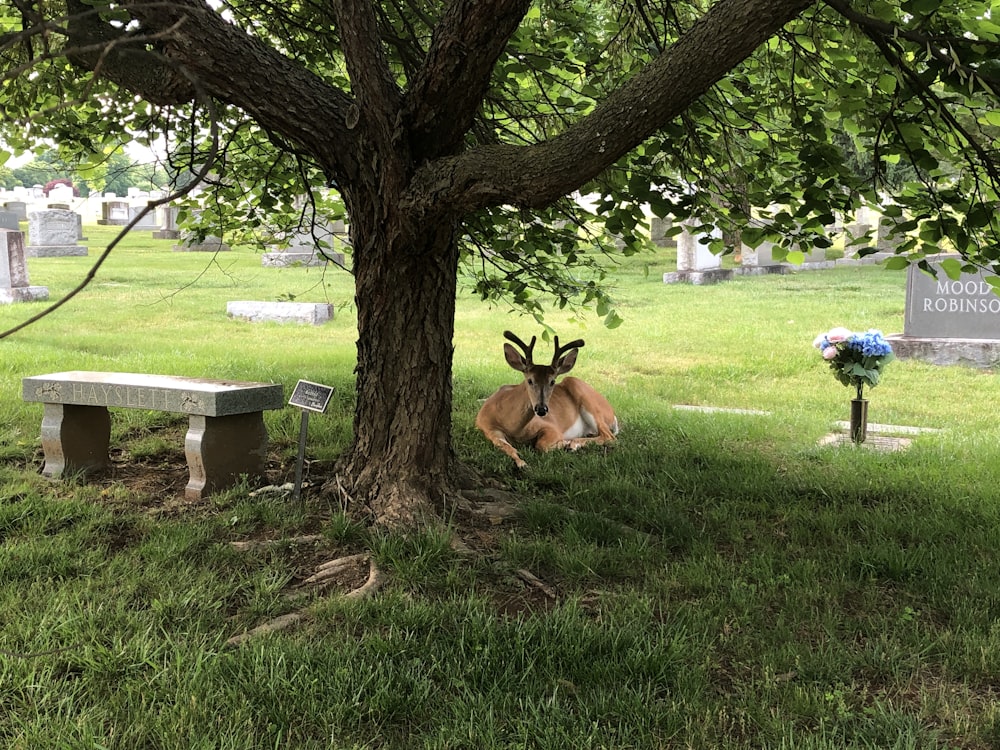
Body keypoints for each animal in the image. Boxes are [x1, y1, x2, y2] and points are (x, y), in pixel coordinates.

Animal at [474, 330, 616, 468]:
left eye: (552, 381)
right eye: (530, 380)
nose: (541, 409)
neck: (514, 429)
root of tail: (612, 414)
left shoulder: (550, 426)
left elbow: (541, 445)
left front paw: (565, 443)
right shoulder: (487, 428)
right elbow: (506, 446)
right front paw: (521, 463)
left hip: (584, 396)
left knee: (609, 436)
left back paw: (573, 444)